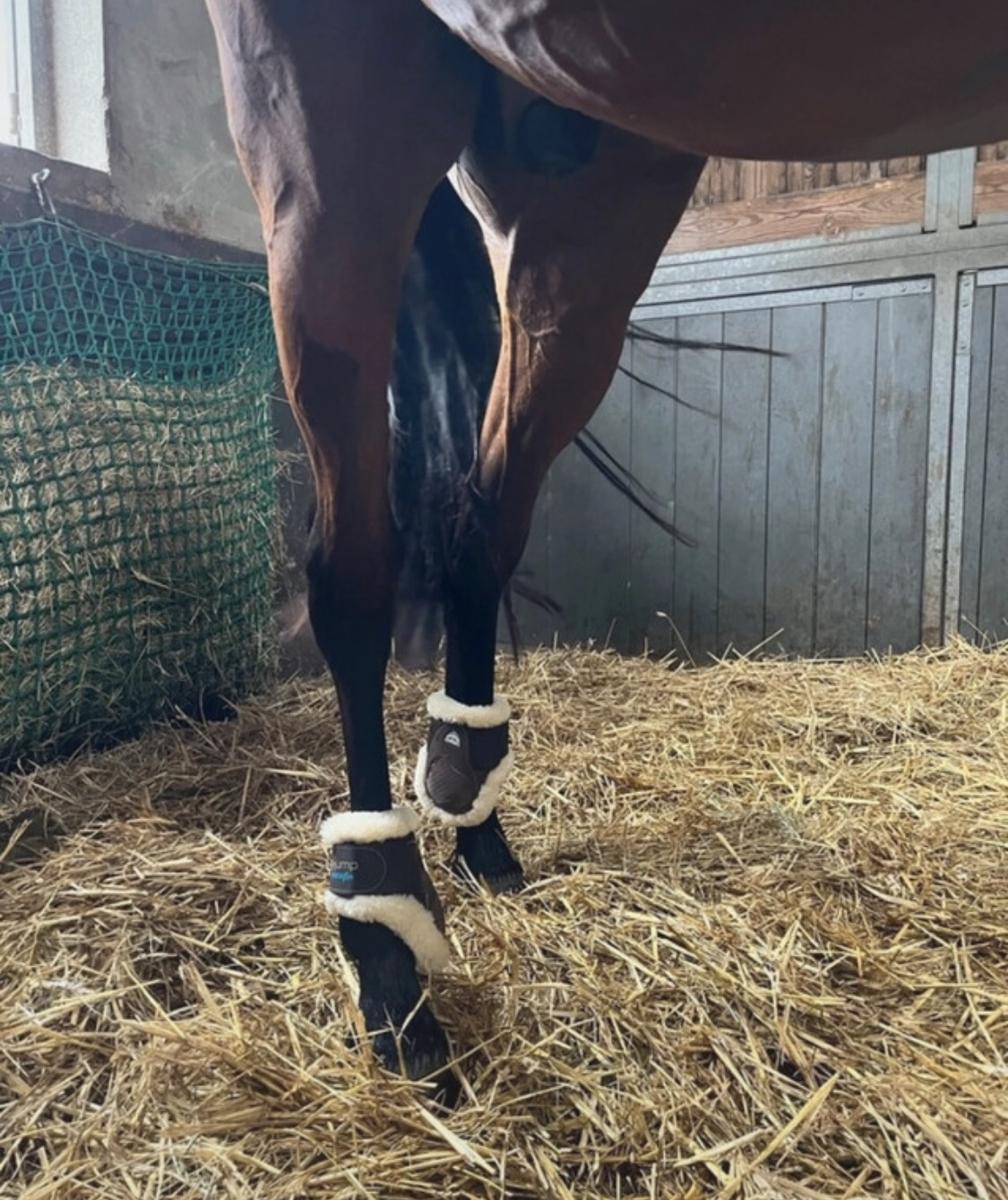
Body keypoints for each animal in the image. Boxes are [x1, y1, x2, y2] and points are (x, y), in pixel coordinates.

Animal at [203, 0, 1008, 1102]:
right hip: (337, 140)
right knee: (357, 577)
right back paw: (388, 953)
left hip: (585, 201)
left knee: (475, 522)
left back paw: (472, 821)